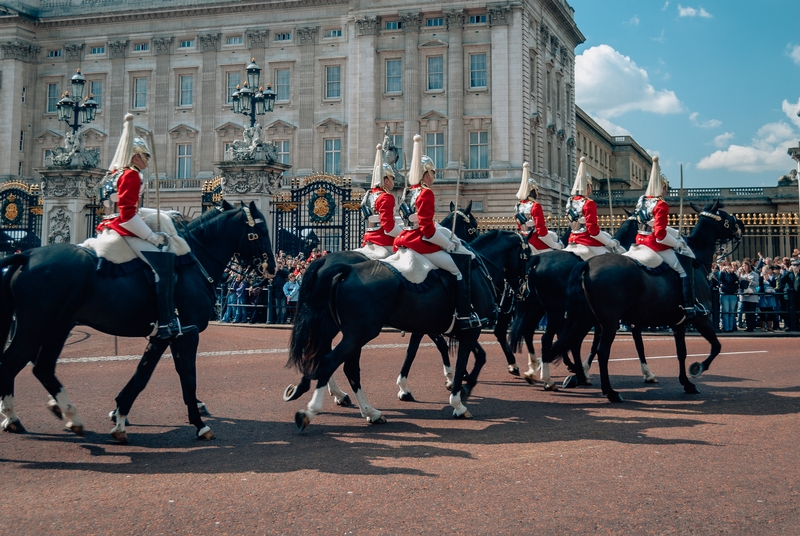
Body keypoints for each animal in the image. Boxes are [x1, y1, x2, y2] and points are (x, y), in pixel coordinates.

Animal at [0, 201, 276, 440]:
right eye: (262, 231)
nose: (272, 270)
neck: (194, 260)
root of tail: (27, 256)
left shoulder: (168, 332)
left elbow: (146, 372)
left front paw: (119, 412)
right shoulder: (186, 332)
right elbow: (185, 374)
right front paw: (199, 424)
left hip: (57, 326)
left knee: (41, 367)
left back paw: (64, 415)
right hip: (36, 327)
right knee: (13, 362)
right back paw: (16, 417)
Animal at [552, 201, 740, 402]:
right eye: (726, 216)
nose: (740, 228)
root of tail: (587, 264)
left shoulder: (677, 323)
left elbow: (680, 352)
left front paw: (686, 383)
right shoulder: (701, 318)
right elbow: (716, 346)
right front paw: (697, 368)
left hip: (585, 317)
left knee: (572, 342)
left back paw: (575, 376)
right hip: (608, 321)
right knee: (601, 351)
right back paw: (609, 391)